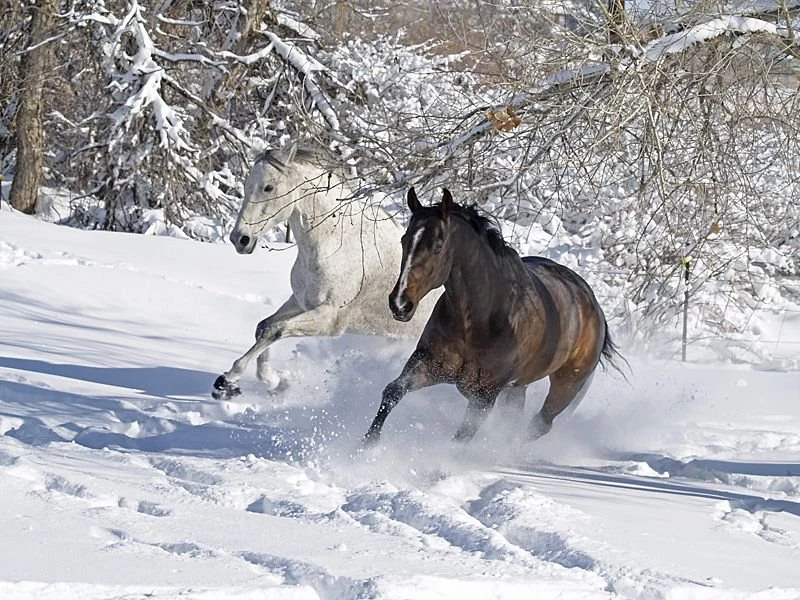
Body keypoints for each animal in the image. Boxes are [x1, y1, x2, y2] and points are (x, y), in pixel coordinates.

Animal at [212, 143, 441, 399]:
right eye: (246, 186)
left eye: (268, 187)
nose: (239, 239)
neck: (333, 242)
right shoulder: (303, 302)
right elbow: (263, 327)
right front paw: (276, 382)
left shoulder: (330, 318)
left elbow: (275, 330)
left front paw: (228, 380)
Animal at [363, 187, 622, 445]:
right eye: (404, 241)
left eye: (437, 246)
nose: (399, 304)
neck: (481, 321)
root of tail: (594, 307)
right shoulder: (428, 363)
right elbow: (393, 392)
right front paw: (366, 446)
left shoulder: (484, 396)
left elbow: (461, 438)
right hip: (516, 389)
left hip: (565, 386)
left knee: (539, 425)